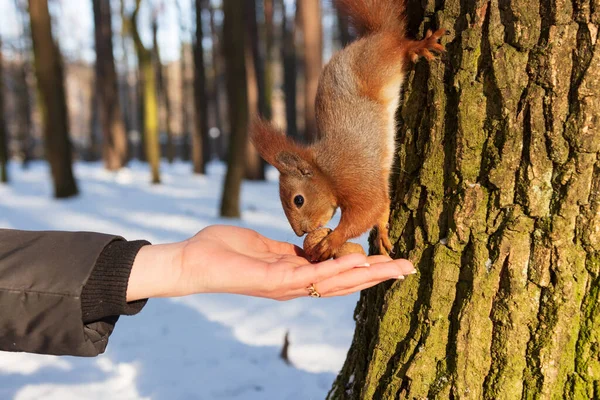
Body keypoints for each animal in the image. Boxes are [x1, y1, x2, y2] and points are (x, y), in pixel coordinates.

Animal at [248, 0, 446, 262]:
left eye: (298, 200)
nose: (301, 232)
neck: (326, 171)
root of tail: (373, 35)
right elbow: (381, 208)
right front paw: (382, 233)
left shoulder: (353, 175)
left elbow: (370, 207)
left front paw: (332, 241)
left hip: (380, 61)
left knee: (400, 45)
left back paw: (420, 45)